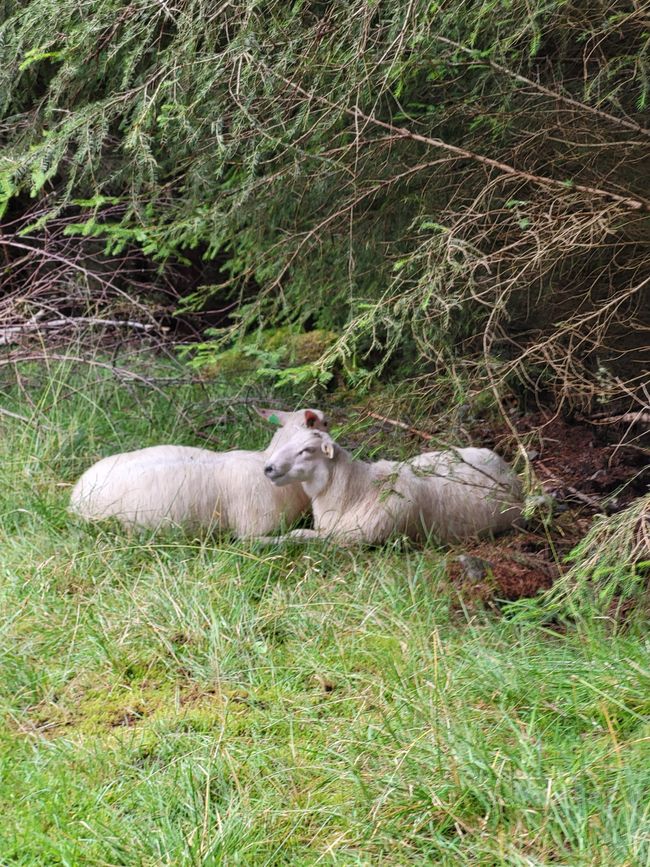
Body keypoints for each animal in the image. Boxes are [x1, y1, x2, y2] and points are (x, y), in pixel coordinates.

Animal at [258, 430, 520, 544]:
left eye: (307, 450)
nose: (268, 468)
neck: (357, 489)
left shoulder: (351, 539)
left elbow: (297, 535)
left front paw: (261, 543)